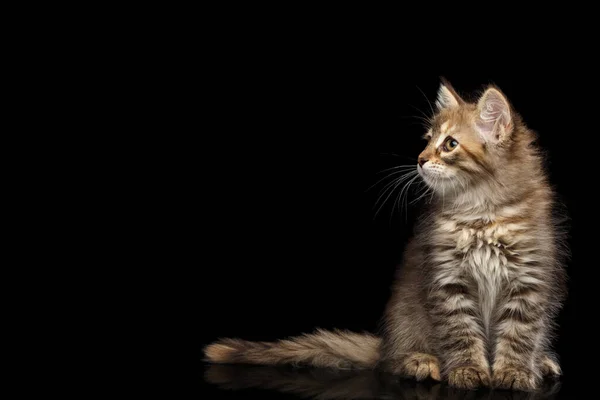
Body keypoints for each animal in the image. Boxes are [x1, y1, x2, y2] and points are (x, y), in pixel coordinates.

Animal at [203, 80, 568, 390]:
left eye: (450, 144)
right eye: (426, 140)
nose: (420, 159)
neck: (480, 214)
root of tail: (386, 344)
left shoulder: (529, 279)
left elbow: (520, 333)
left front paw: (514, 371)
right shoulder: (449, 281)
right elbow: (461, 332)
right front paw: (468, 369)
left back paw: (541, 362)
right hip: (405, 320)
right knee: (392, 361)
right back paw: (419, 361)